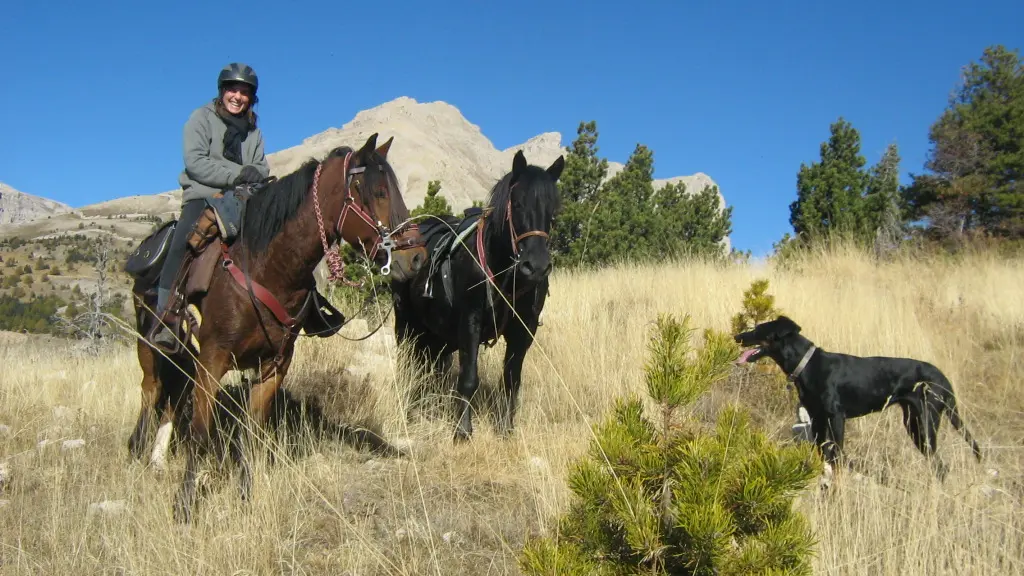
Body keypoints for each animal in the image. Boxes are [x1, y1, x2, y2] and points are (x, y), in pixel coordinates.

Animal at [124, 133, 423, 520]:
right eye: (378, 191)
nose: (416, 257)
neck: (267, 267)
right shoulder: (214, 358)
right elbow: (201, 432)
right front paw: (185, 506)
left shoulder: (274, 365)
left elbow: (252, 431)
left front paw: (245, 496)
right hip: (149, 341)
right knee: (152, 389)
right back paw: (138, 450)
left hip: (185, 353)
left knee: (175, 394)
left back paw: (157, 458)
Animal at [391, 148, 569, 438]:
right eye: (516, 204)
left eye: (553, 210)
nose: (537, 266)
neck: (505, 275)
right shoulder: (470, 323)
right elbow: (468, 377)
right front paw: (463, 431)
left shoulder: (524, 330)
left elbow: (511, 380)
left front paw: (506, 429)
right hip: (406, 324)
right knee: (408, 363)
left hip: (438, 335)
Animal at [733, 315, 978, 477]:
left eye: (758, 329)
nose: (737, 336)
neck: (808, 365)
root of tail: (943, 378)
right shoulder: (817, 418)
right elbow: (822, 453)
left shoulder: (836, 417)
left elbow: (836, 455)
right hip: (913, 422)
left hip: (925, 422)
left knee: (941, 465)